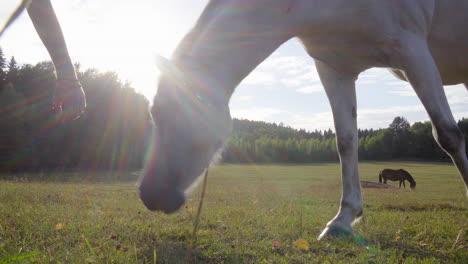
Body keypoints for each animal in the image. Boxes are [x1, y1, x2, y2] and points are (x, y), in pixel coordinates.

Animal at [140, 0, 468, 239]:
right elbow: (346, 142)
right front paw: (342, 220)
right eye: (153, 112)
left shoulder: (412, 49)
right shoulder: (335, 68)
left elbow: (447, 135)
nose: (151, 195)